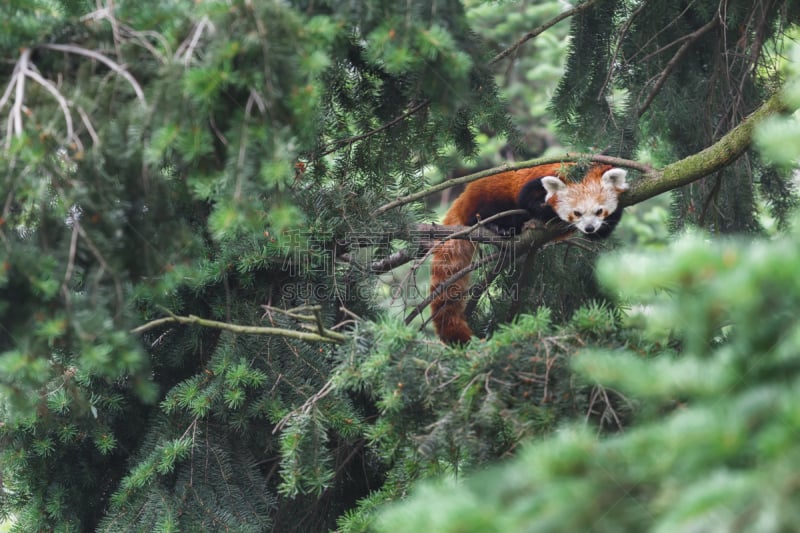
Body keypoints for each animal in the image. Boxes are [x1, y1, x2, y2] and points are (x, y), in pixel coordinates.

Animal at [428, 163, 628, 344]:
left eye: (599, 211)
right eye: (576, 213)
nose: (589, 227)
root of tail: (465, 194)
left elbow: (601, 233)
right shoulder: (542, 178)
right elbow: (526, 197)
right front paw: (550, 213)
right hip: (489, 197)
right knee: (484, 214)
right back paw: (496, 226)